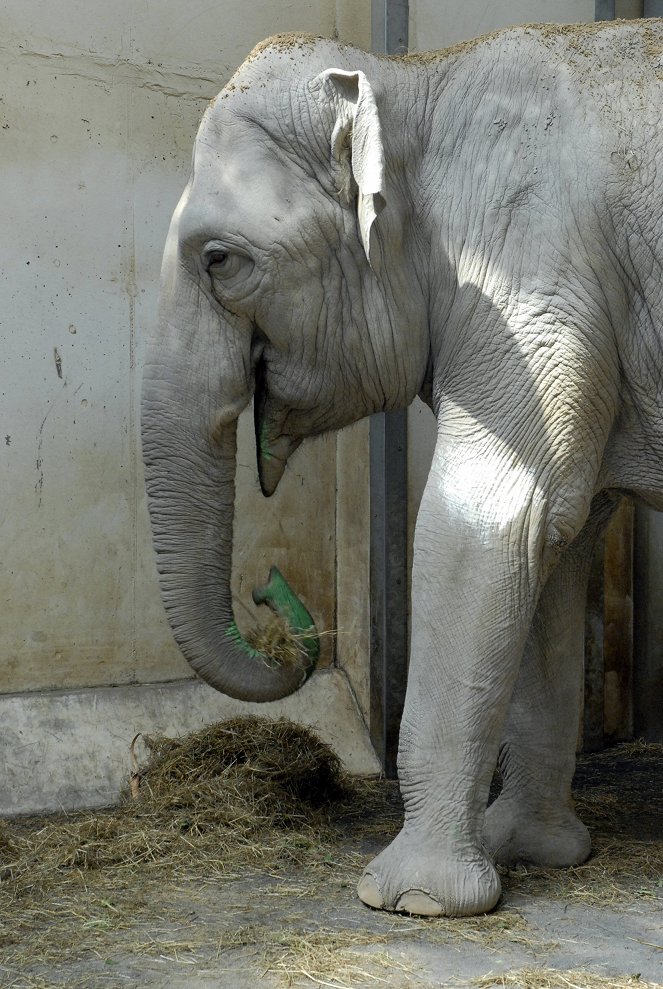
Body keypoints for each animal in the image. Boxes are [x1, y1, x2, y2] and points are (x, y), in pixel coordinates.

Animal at [141, 21, 663, 920]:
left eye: (219, 259)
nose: (270, 592)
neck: (416, 78)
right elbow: (554, 541)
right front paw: (528, 849)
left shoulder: (534, 269)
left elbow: (495, 519)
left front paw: (410, 899)